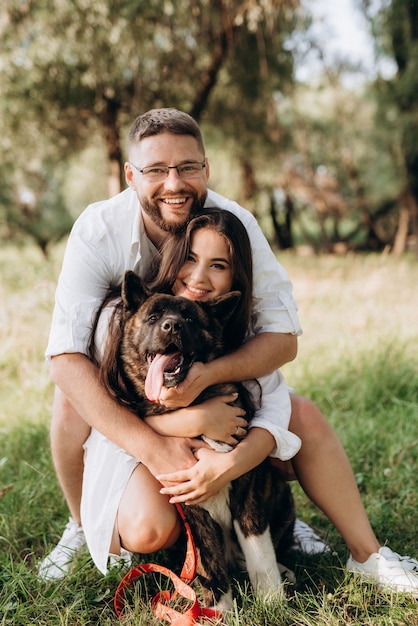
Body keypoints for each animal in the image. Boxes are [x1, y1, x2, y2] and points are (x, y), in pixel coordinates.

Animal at [99, 270, 296, 608]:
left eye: (190, 318)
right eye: (154, 317)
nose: (172, 326)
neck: (194, 406)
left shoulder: (249, 490)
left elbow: (260, 554)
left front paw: (272, 601)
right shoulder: (192, 511)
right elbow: (208, 565)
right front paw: (219, 611)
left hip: (284, 497)